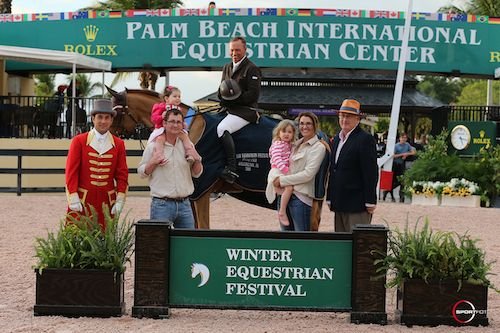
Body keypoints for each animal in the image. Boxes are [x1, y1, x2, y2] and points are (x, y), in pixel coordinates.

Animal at [108, 87, 328, 230]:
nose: (106, 134)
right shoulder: (194, 194)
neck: (187, 128)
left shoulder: (202, 192)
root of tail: (322, 136)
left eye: (115, 112)